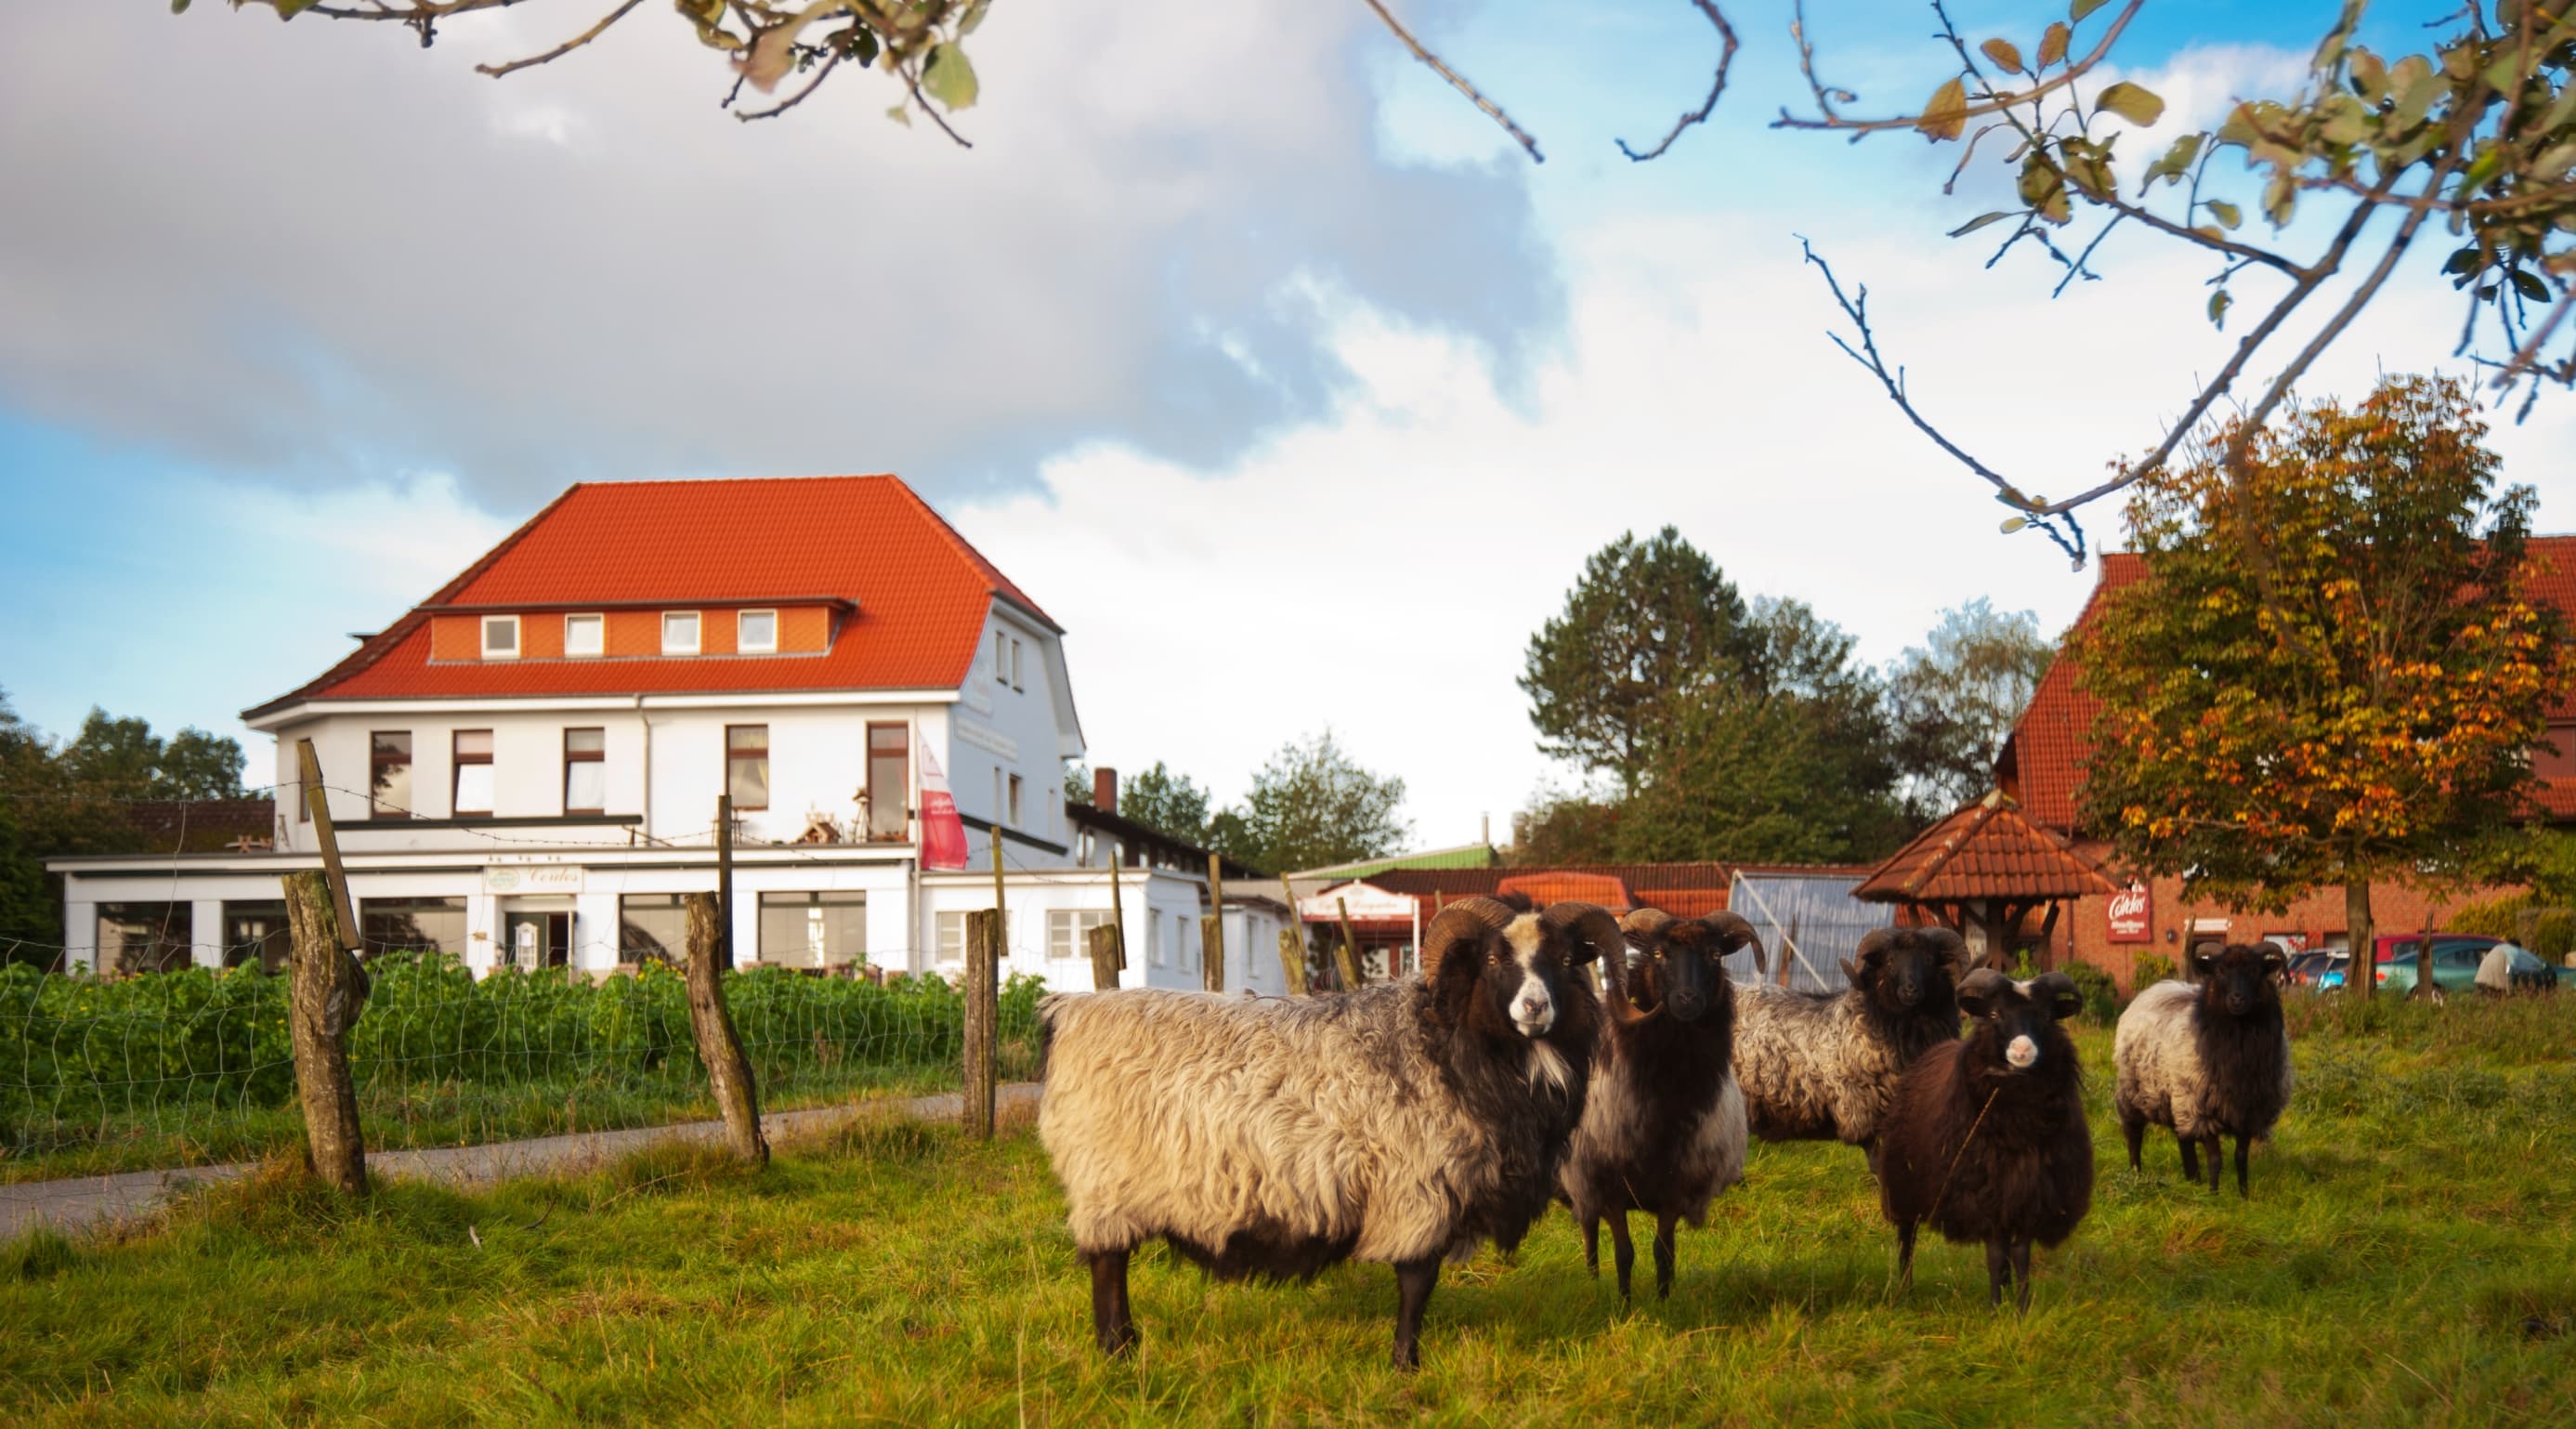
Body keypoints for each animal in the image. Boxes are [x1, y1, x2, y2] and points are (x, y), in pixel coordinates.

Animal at [1555, 911, 1761, 1303]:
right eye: (1659, 954)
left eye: (1715, 954)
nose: (1687, 999)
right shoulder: (1610, 1188)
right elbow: (1624, 1253)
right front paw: (1625, 1304)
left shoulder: (1676, 1188)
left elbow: (1663, 1251)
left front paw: (1665, 1300)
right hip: (1581, 1180)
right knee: (1588, 1231)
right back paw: (1592, 1279)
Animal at [1875, 967, 2091, 1313]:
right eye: (1993, 1014)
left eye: (2046, 1015)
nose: (2022, 1051)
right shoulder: (1983, 1194)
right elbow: (1995, 1255)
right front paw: (1994, 1308)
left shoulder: (2031, 1194)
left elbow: (2020, 1256)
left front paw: (2021, 1310)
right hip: (1903, 1184)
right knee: (1907, 1238)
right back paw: (1905, 1290)